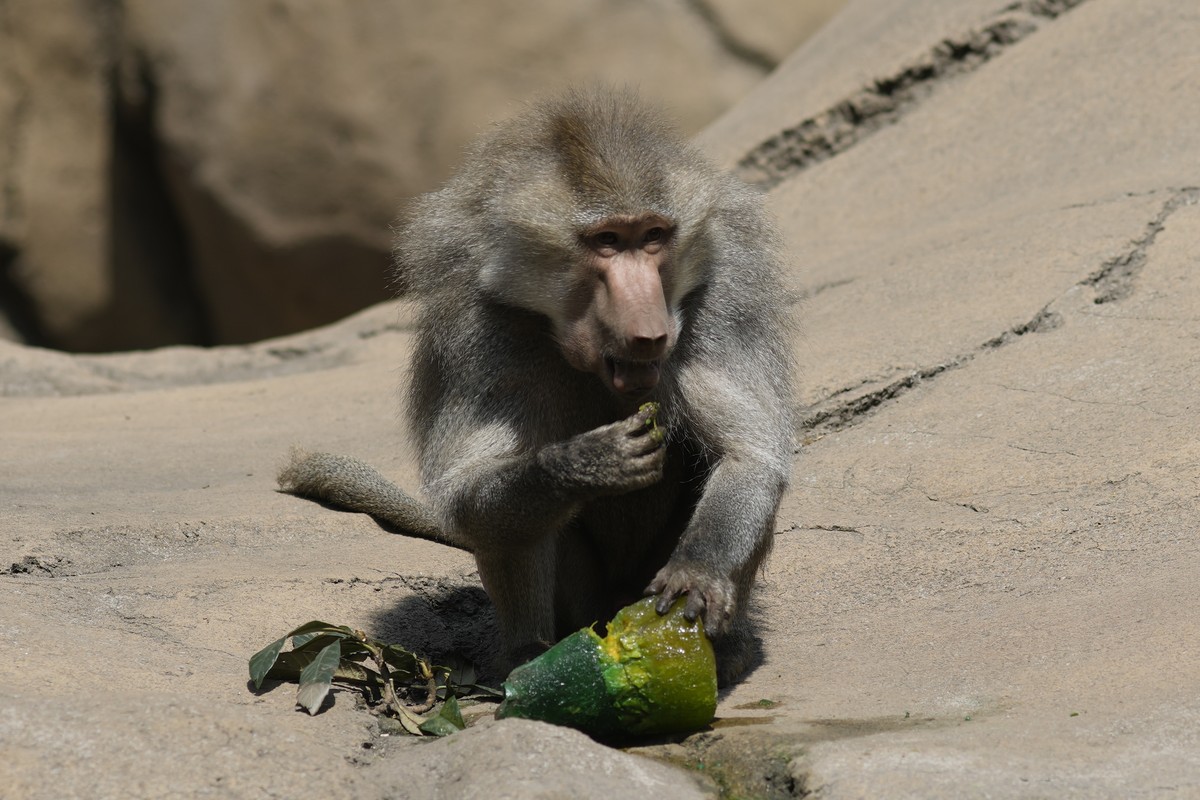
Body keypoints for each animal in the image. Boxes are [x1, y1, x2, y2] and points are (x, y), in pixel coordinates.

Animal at [279, 88, 796, 686]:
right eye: (606, 242)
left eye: (653, 237)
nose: (649, 333)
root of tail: (612, 609)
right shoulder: (481, 331)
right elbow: (468, 489)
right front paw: (587, 462)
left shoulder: (720, 301)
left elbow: (747, 457)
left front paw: (697, 574)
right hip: (582, 602)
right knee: (515, 523)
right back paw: (528, 655)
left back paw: (728, 649)